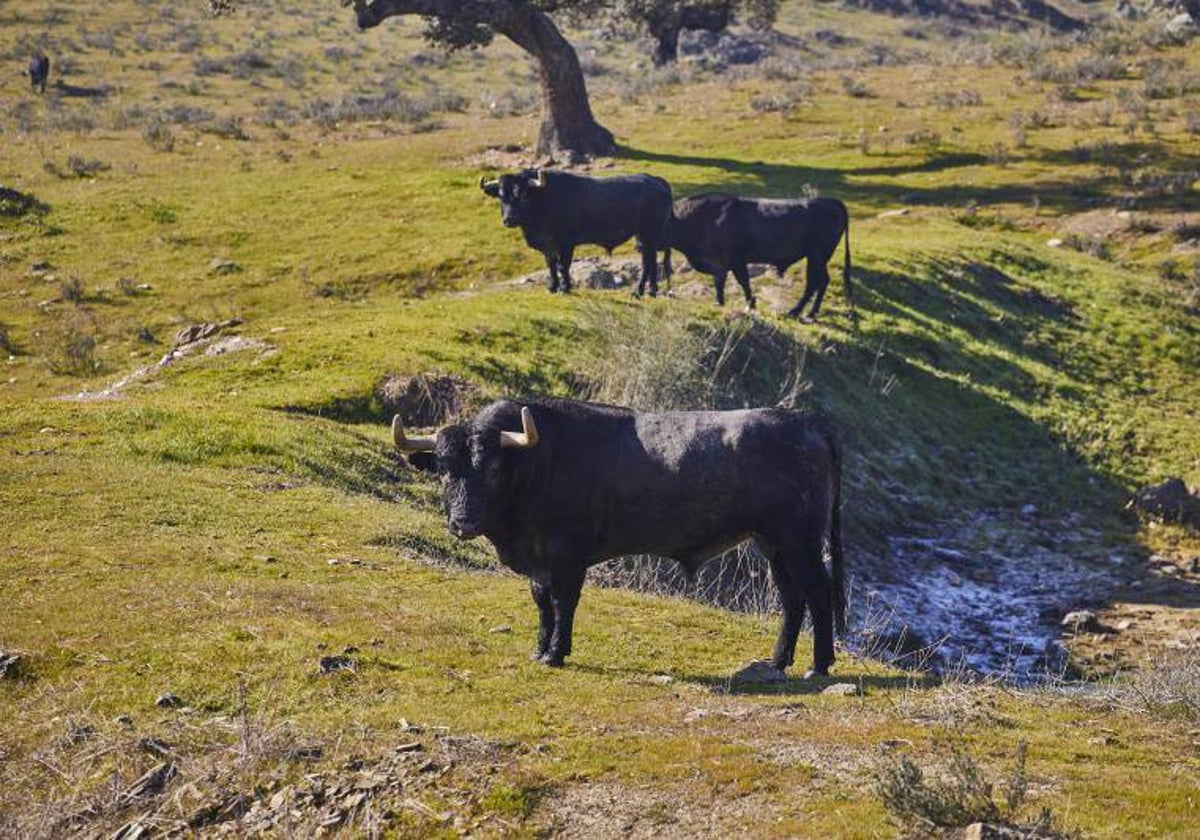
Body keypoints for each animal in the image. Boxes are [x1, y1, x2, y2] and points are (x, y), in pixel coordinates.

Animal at [398, 396, 849, 681]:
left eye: (492, 468)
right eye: (444, 470)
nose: (464, 522)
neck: (538, 464)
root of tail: (804, 423)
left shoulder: (567, 557)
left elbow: (563, 602)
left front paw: (557, 653)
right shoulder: (539, 561)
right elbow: (542, 602)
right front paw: (540, 649)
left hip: (800, 539)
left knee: (817, 592)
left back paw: (819, 665)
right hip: (773, 544)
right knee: (792, 599)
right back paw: (777, 663)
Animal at [477, 166, 672, 295]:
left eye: (523, 194)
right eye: (501, 196)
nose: (509, 219)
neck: (544, 199)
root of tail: (656, 180)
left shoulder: (566, 244)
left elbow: (563, 265)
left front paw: (565, 288)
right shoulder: (547, 246)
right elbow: (551, 265)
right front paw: (553, 287)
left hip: (648, 235)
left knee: (649, 261)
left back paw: (642, 291)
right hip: (642, 236)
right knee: (649, 261)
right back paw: (647, 291)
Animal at [667, 193, 854, 321]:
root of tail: (830, 201)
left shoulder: (735, 259)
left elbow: (743, 281)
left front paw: (750, 304)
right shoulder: (719, 263)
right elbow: (720, 282)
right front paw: (719, 303)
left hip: (817, 256)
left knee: (816, 282)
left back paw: (800, 311)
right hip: (817, 257)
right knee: (819, 281)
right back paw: (806, 311)